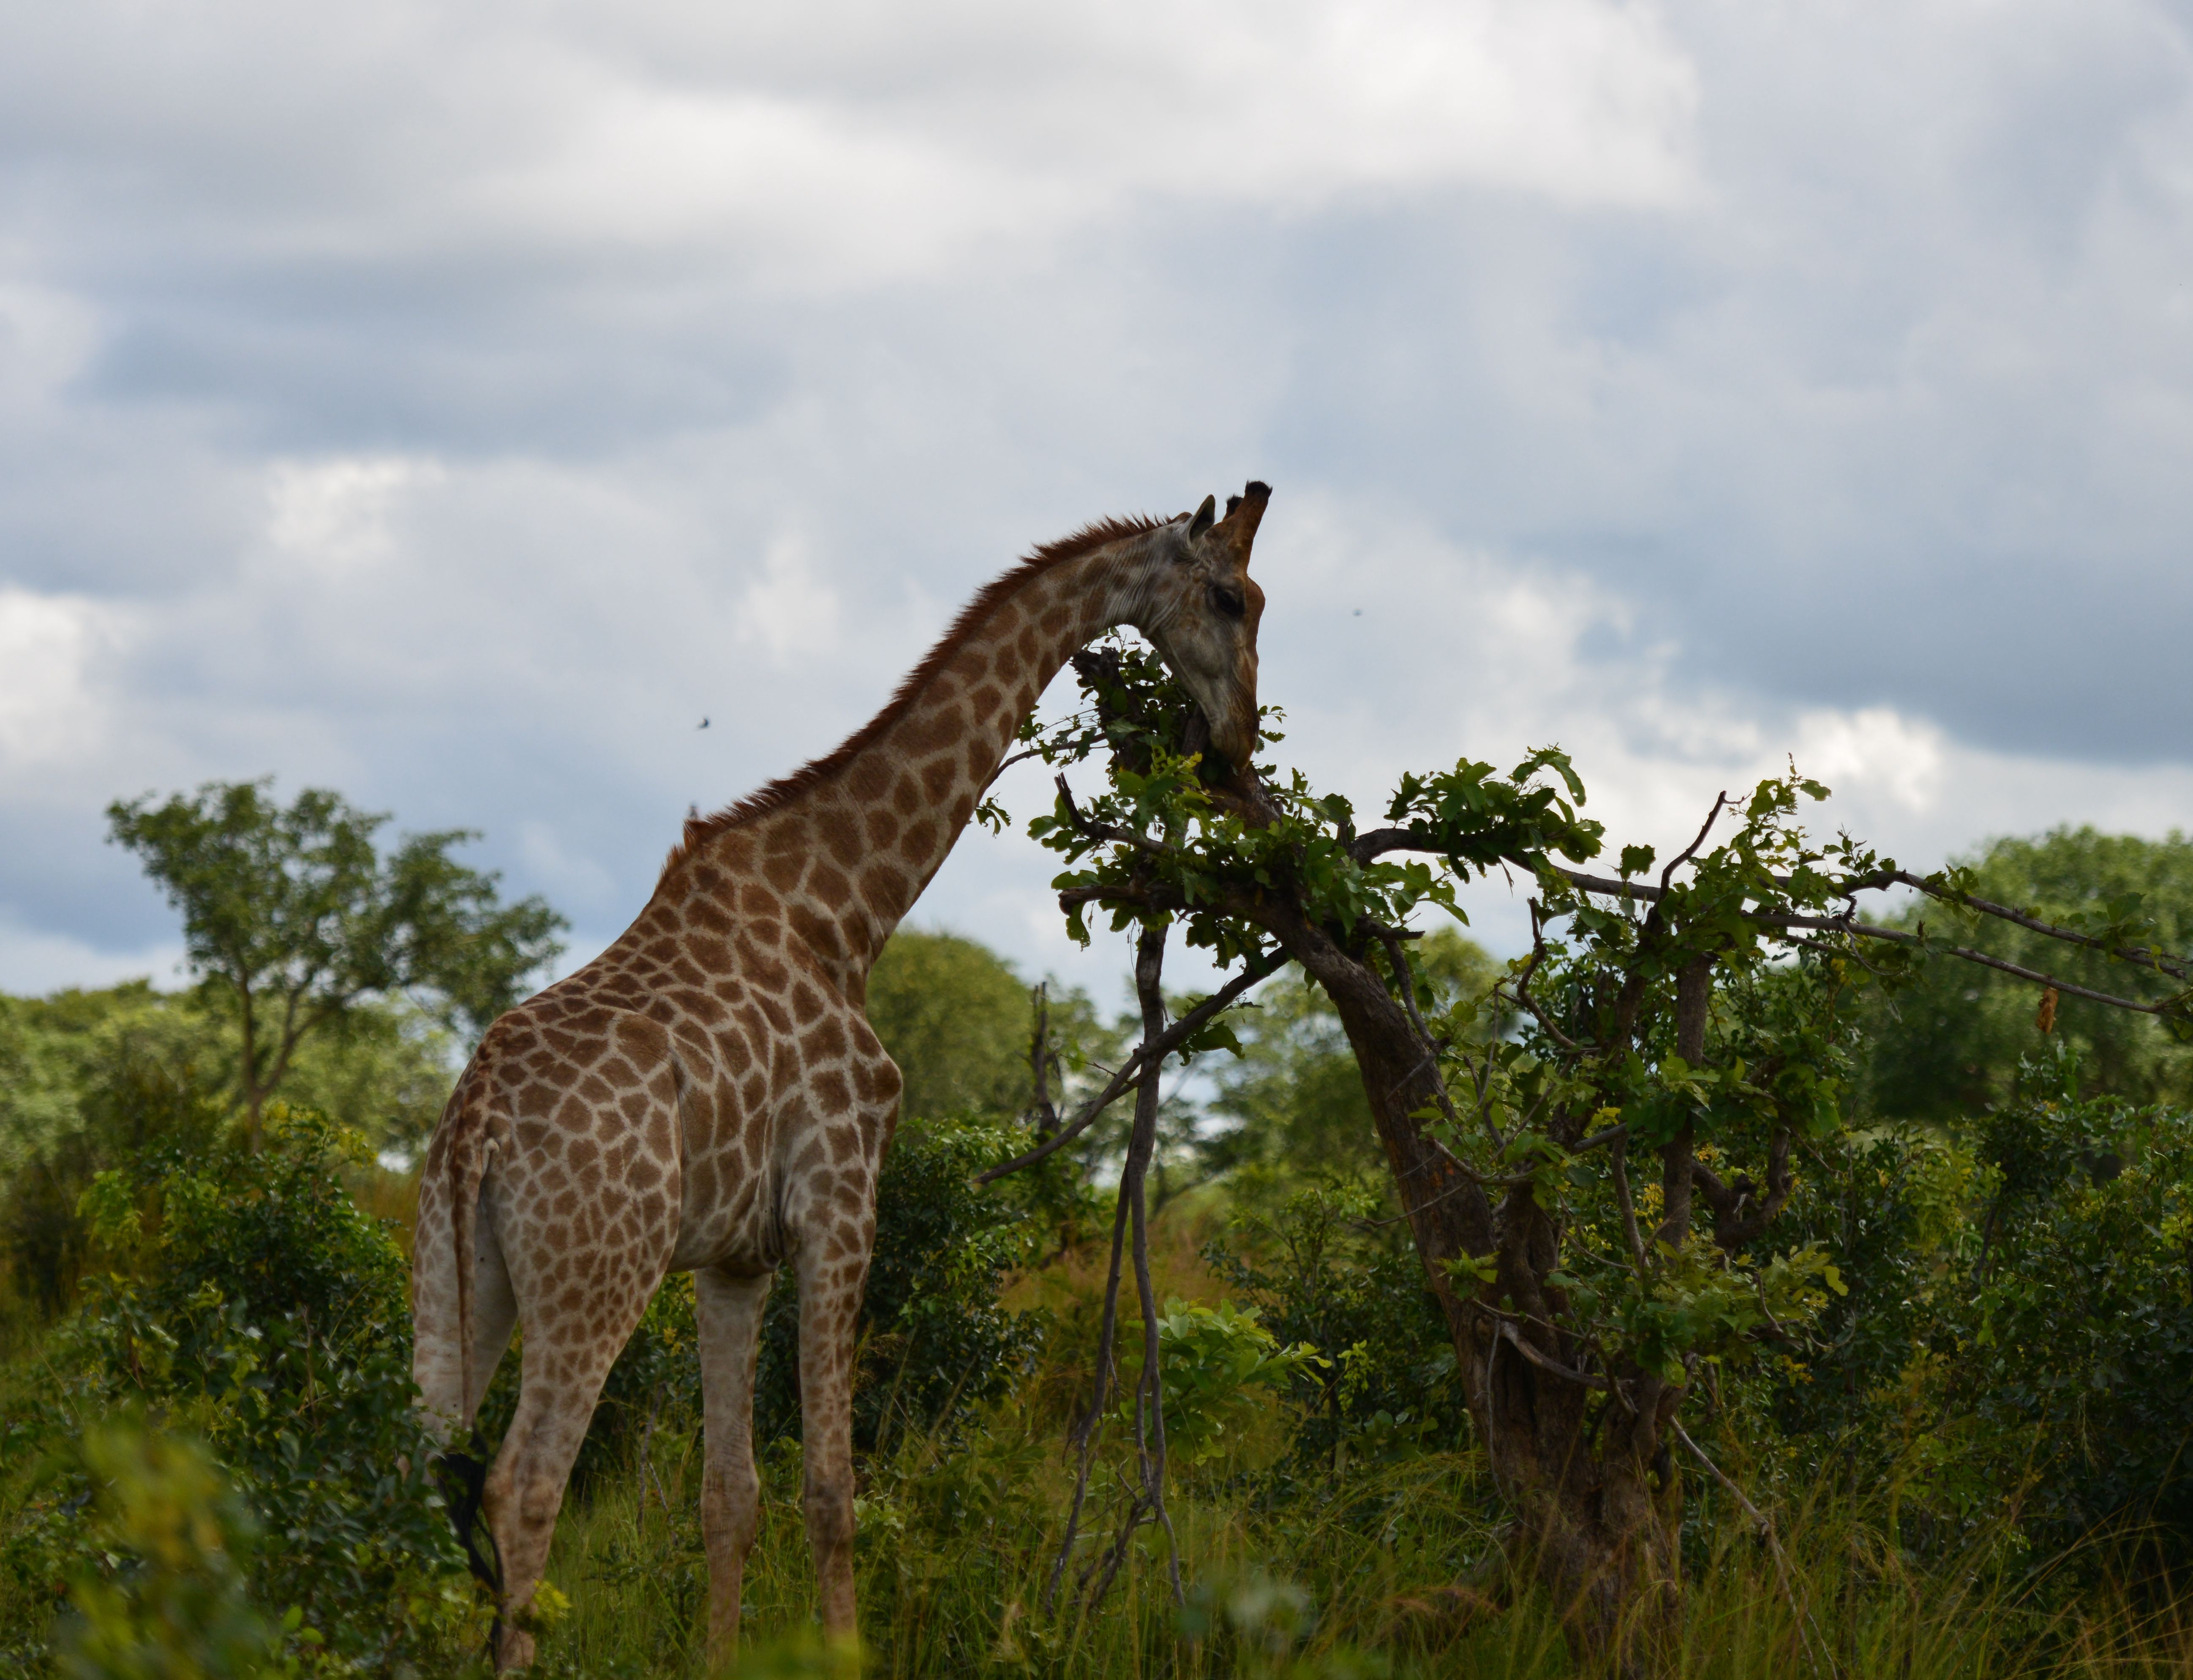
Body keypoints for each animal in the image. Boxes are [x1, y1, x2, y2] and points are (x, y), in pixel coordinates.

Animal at [412, 482, 1272, 1666]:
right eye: (1230, 598)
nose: (1237, 742)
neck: (846, 909)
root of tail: (479, 1124)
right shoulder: (840, 1200)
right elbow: (832, 1487)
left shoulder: (733, 1257)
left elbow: (729, 1494)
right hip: (600, 1270)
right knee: (524, 1486)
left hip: (459, 1272)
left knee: (420, 1478)